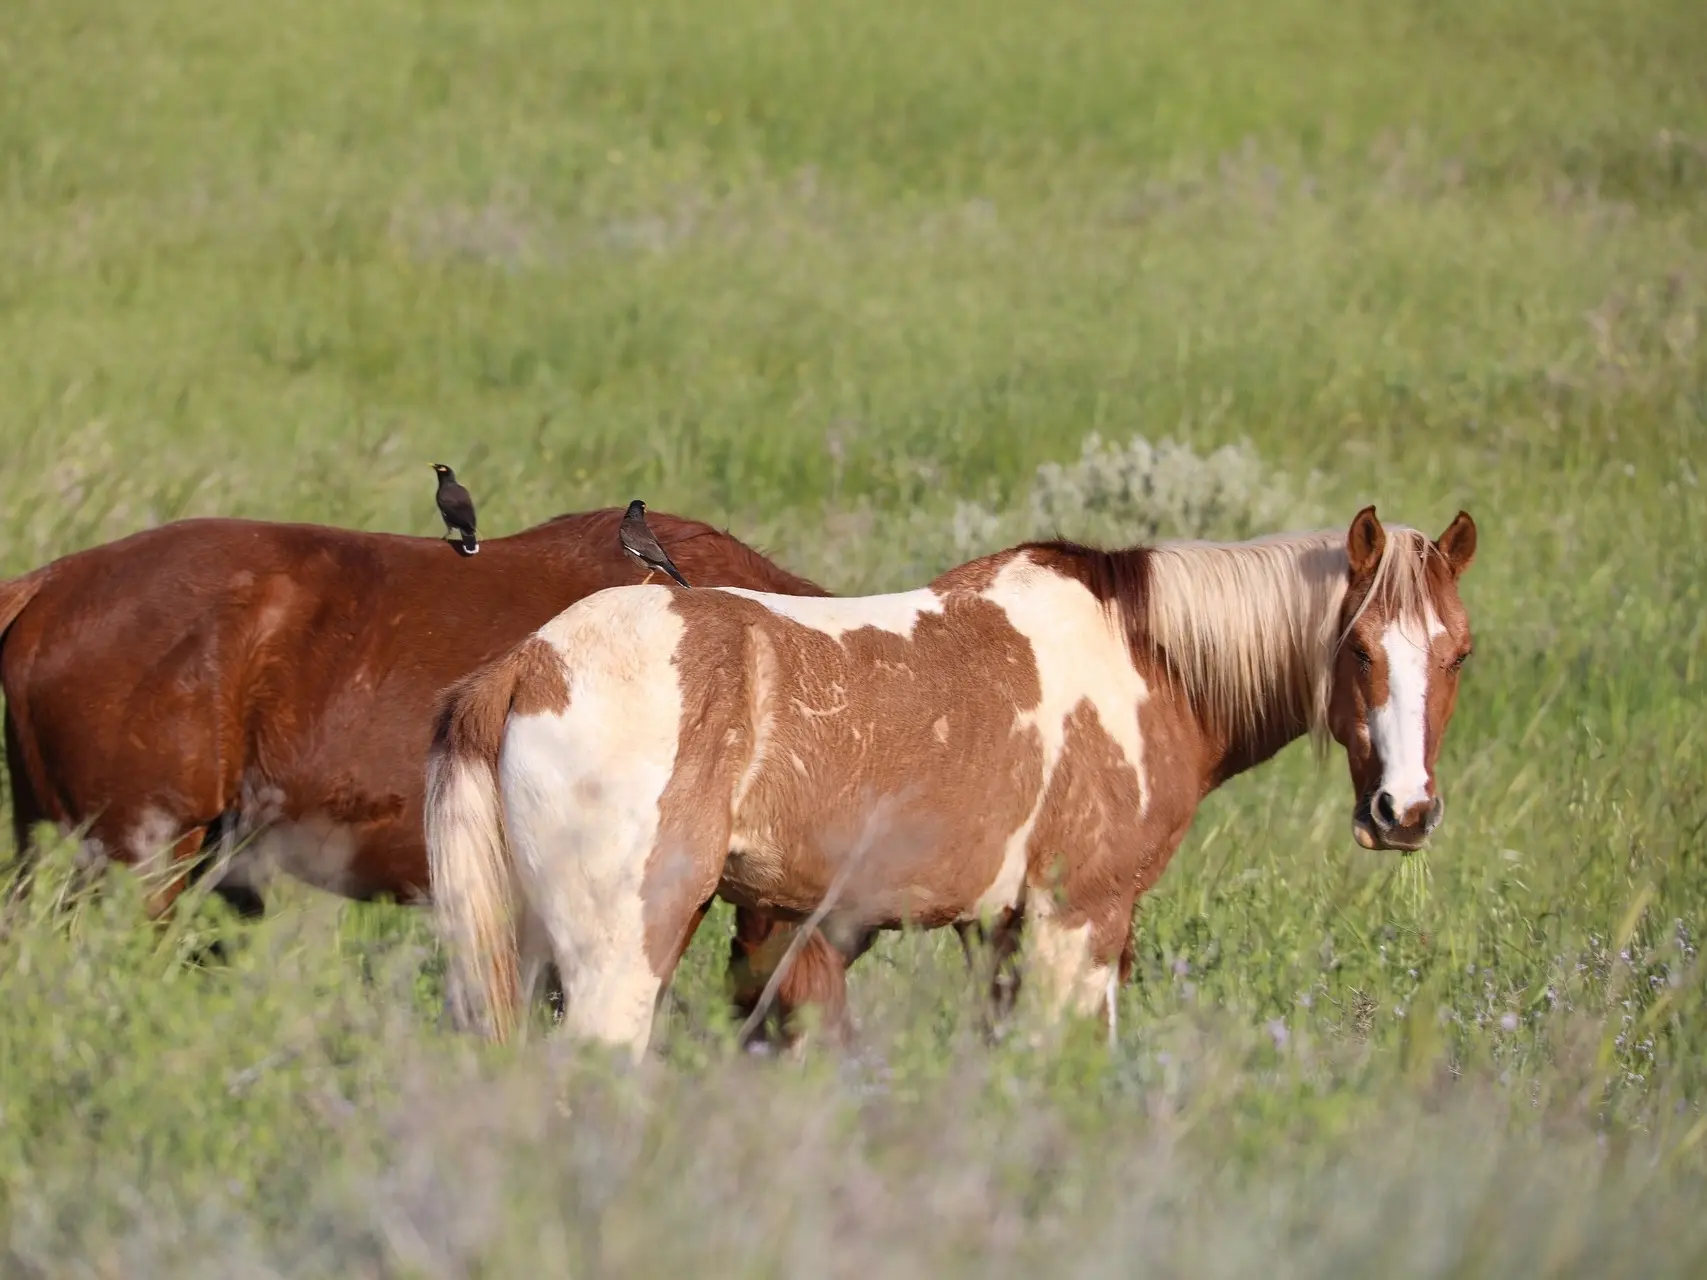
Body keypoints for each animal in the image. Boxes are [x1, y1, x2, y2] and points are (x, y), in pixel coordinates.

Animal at [430, 505, 1481, 1058]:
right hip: (620, 959)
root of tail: (528, 664)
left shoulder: (1006, 935)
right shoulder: (1077, 922)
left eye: (1459, 652)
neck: (1140, 657)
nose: (1405, 811)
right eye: (1357, 649)